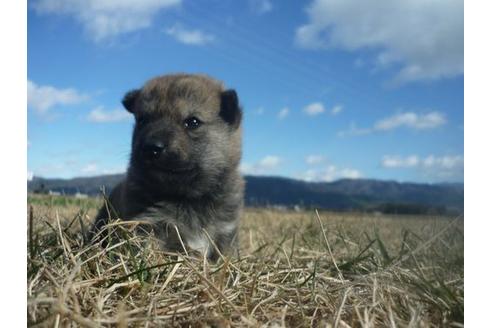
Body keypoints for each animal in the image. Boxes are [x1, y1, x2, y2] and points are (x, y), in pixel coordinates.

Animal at [90, 73, 244, 260]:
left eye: (193, 122)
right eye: (143, 120)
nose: (151, 148)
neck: (188, 198)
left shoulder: (226, 229)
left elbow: (225, 254)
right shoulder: (150, 224)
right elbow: (176, 248)